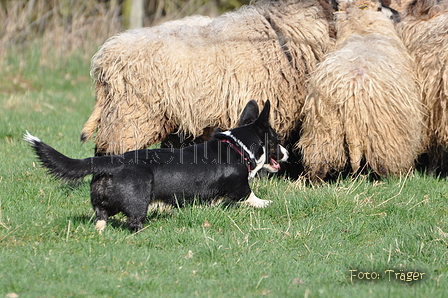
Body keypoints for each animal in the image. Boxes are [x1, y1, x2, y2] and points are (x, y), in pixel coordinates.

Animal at [24, 100, 288, 233]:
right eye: (276, 141)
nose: (286, 155)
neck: (239, 147)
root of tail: (111, 162)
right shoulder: (240, 189)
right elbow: (252, 197)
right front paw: (267, 203)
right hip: (138, 201)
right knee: (133, 223)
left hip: (102, 204)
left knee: (101, 218)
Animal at [298, 0, 424, 179]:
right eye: (380, 7)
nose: (398, 14)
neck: (362, 30)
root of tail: (350, 96)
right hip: (382, 131)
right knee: (384, 163)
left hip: (324, 127)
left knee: (319, 160)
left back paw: (317, 179)